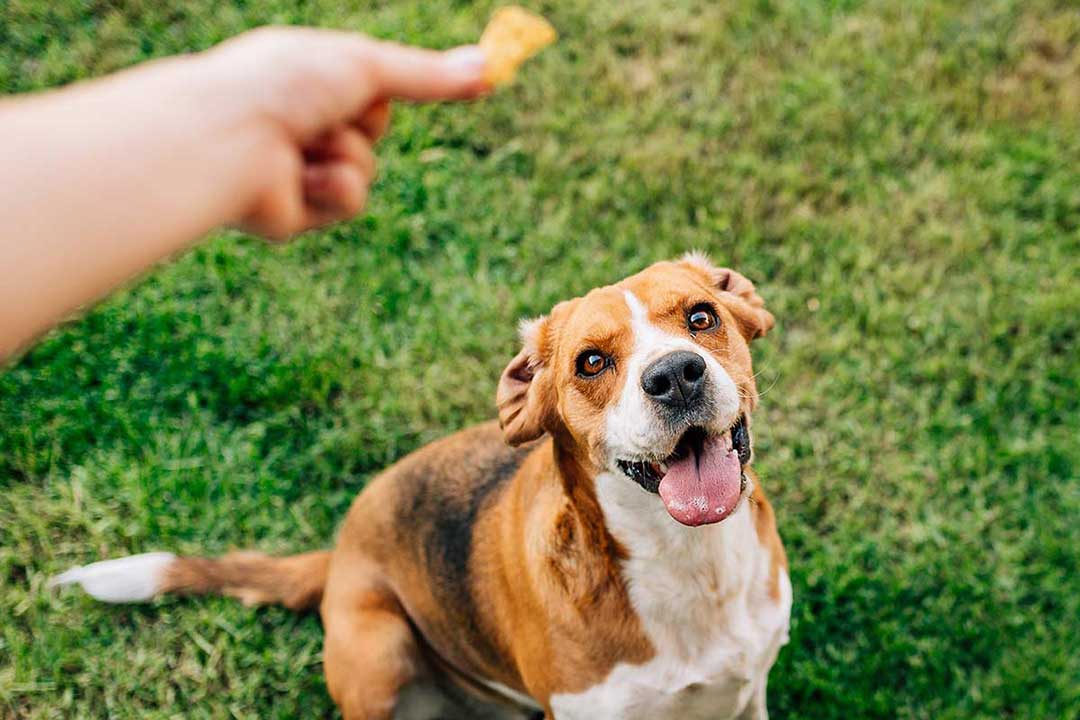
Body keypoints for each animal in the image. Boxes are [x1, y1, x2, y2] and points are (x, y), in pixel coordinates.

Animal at [50, 254, 790, 720]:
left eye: (701, 317)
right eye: (590, 362)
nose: (675, 376)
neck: (687, 562)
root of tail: (340, 553)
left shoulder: (749, 693)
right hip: (379, 651)